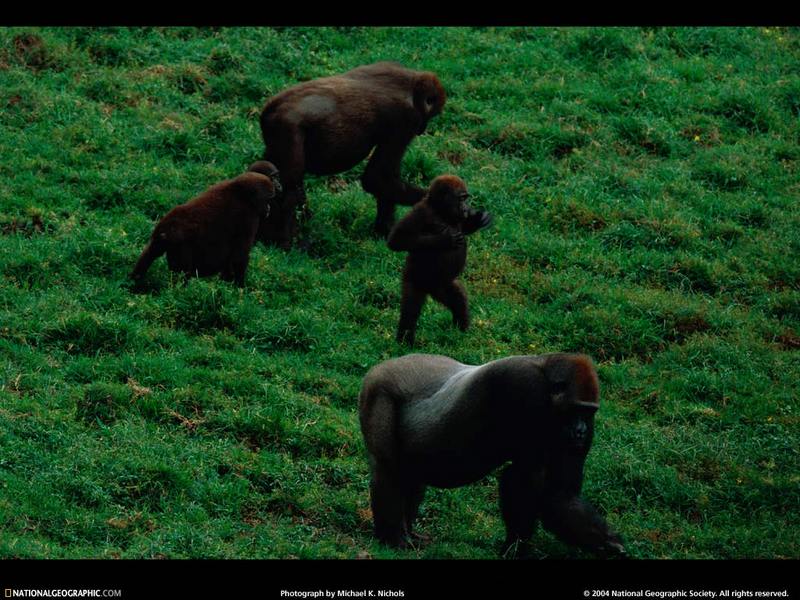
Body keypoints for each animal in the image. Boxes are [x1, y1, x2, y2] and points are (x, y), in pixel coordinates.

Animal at [131, 162, 282, 288]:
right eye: (267, 199)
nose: (268, 209)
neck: (242, 192)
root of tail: (165, 230)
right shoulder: (250, 217)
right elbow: (239, 256)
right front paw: (239, 289)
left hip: (159, 238)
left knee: (150, 252)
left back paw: (134, 280)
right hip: (179, 245)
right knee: (182, 274)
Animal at [260, 60, 446, 246]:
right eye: (431, 114)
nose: (422, 130)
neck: (412, 85)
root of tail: (270, 109)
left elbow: (385, 182)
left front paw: (384, 230)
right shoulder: (407, 120)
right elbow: (377, 178)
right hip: (287, 129)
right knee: (290, 190)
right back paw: (287, 240)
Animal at [360, 352, 628, 556]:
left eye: (589, 412)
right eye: (575, 411)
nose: (581, 431)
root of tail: (383, 364)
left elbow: (560, 493)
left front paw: (604, 541)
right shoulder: (527, 389)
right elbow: (526, 478)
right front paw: (515, 548)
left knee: (412, 476)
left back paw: (409, 532)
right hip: (378, 389)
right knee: (389, 469)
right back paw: (393, 538)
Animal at [390, 173, 494, 346]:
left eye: (465, 199)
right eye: (461, 199)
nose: (465, 208)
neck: (440, 211)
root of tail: (430, 288)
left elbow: (465, 228)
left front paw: (478, 219)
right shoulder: (421, 212)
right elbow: (397, 239)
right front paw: (444, 240)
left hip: (441, 285)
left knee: (457, 298)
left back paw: (462, 332)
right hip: (414, 278)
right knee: (410, 309)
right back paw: (404, 342)